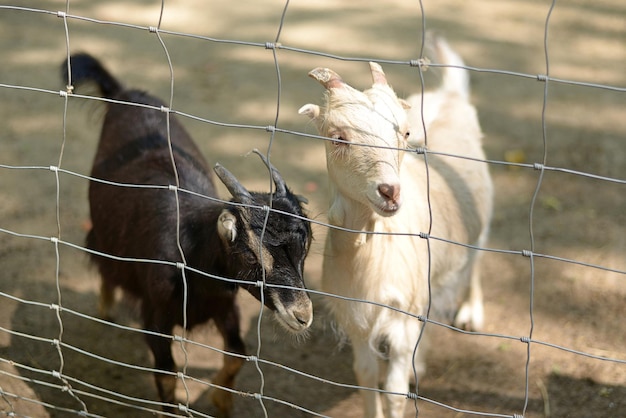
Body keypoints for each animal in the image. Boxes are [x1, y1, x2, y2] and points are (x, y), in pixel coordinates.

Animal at [63, 53, 312, 414]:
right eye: (250, 253)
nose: (303, 316)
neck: (189, 252)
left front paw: (222, 402)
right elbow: (166, 376)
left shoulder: (225, 306)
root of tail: (125, 93)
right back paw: (106, 307)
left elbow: (238, 354)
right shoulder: (155, 317)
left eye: (306, 247)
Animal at [298, 36, 492, 418]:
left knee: (476, 259)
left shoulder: (401, 318)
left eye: (405, 132)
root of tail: (450, 94)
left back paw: (470, 314)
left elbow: (394, 391)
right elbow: (366, 377)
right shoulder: (357, 316)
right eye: (337, 137)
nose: (390, 191)